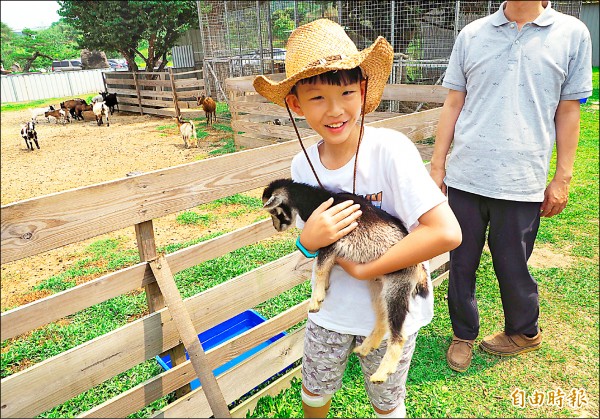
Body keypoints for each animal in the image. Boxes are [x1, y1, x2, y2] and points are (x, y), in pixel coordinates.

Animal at [262, 179, 426, 386]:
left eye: (275, 211)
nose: (277, 228)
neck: (319, 200)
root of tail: (419, 269)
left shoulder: (329, 241)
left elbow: (319, 268)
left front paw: (315, 301)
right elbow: (326, 267)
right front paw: (324, 289)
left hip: (398, 285)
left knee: (399, 333)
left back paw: (382, 373)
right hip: (378, 287)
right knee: (382, 318)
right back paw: (364, 348)